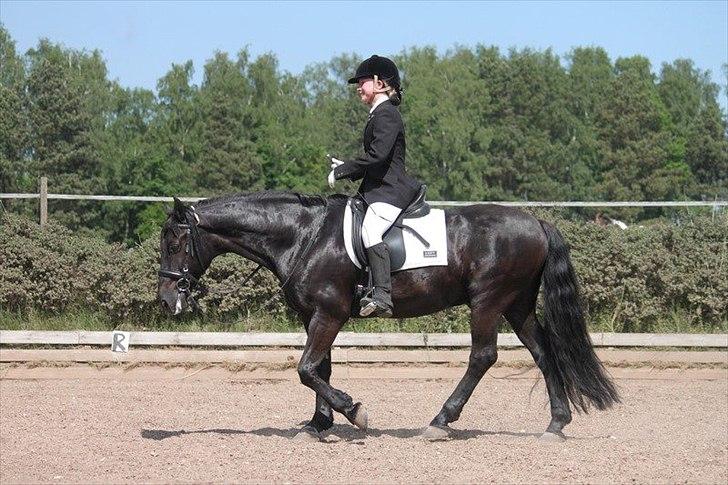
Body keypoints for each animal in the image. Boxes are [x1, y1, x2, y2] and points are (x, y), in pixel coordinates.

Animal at [157, 191, 619, 442]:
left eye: (176, 243)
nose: (165, 300)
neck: (304, 235)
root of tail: (537, 222)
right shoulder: (314, 315)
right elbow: (319, 368)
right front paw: (318, 424)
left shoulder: (329, 314)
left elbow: (306, 369)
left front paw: (353, 411)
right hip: (517, 304)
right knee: (543, 352)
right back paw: (556, 424)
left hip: (489, 300)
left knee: (483, 357)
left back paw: (440, 421)